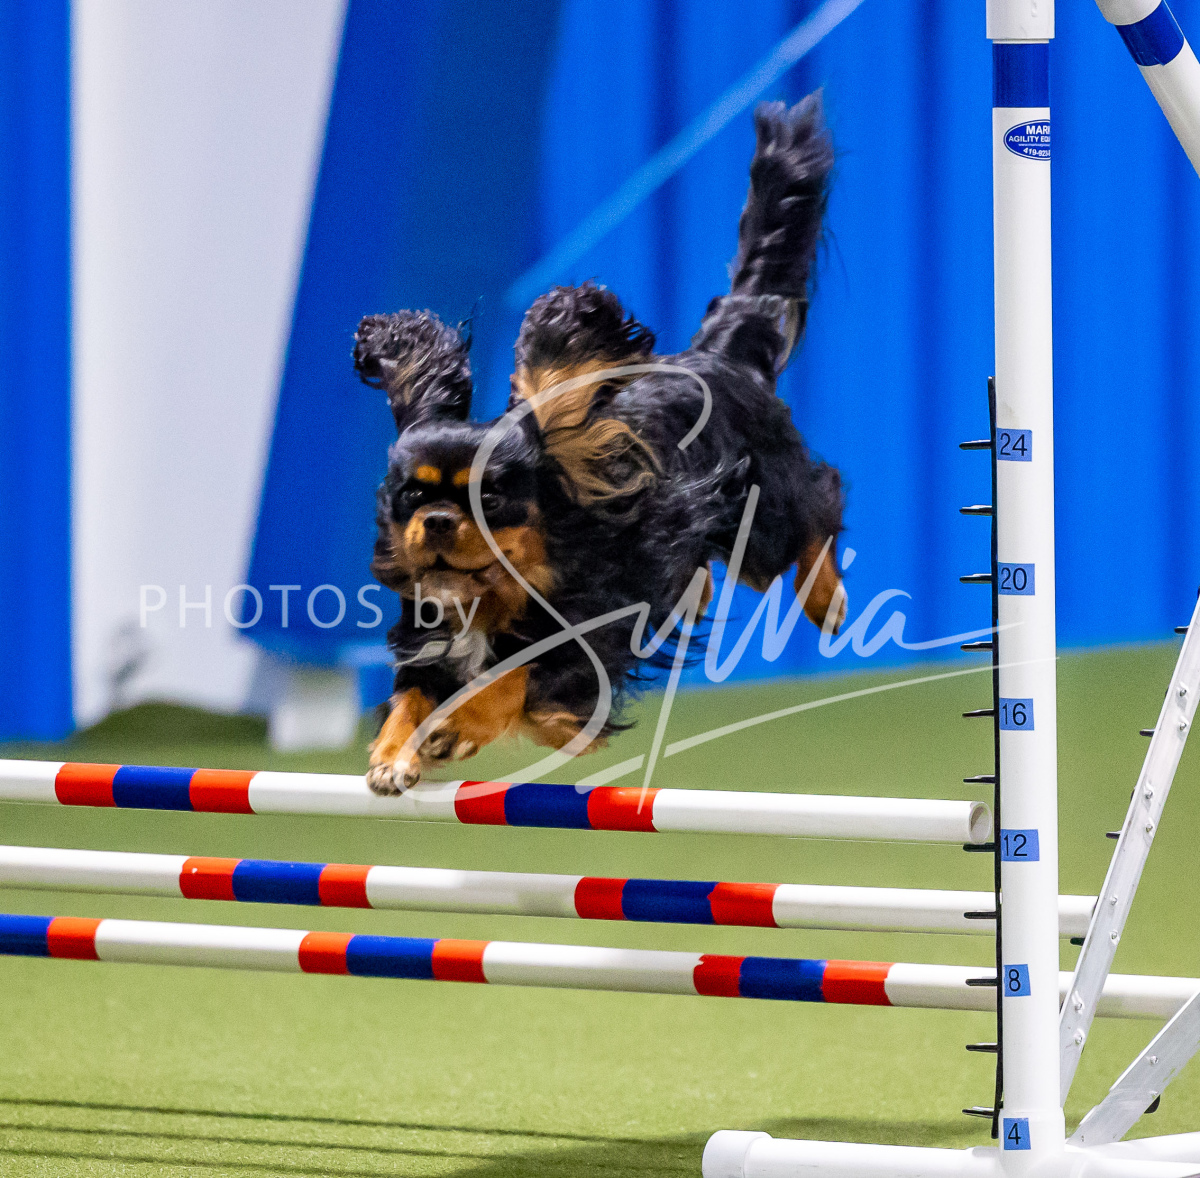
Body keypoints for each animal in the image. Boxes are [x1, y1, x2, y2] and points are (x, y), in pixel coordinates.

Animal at [357, 93, 844, 794]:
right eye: (411, 496)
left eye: (492, 499)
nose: (440, 522)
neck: (498, 595)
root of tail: (717, 354)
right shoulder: (429, 638)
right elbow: (412, 692)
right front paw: (394, 752)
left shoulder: (589, 649)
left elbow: (515, 676)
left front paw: (455, 728)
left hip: (762, 514)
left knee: (816, 512)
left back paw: (828, 600)